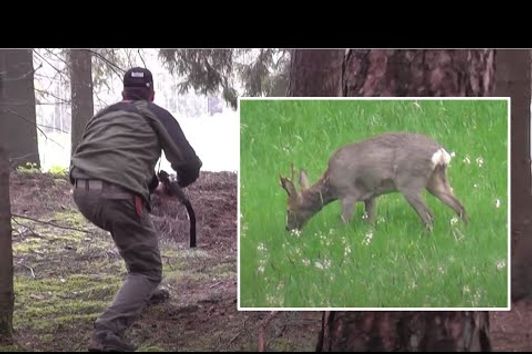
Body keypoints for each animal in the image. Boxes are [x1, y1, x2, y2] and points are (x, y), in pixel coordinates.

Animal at [278, 133, 466, 232]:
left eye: (288, 210)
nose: (288, 228)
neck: (330, 183)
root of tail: (440, 153)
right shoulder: (370, 196)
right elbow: (370, 220)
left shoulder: (348, 194)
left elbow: (344, 222)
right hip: (436, 180)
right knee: (460, 206)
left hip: (409, 183)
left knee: (429, 215)